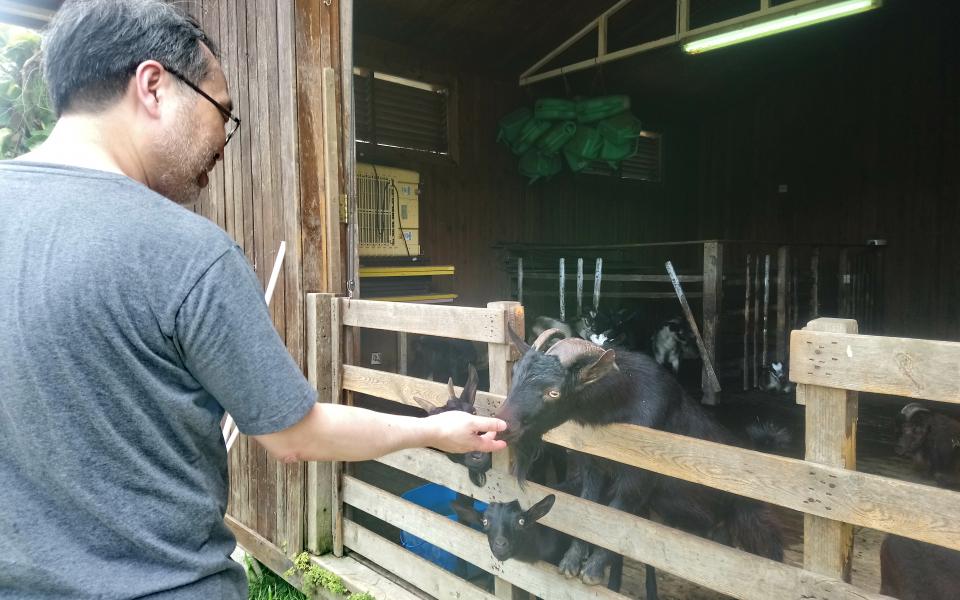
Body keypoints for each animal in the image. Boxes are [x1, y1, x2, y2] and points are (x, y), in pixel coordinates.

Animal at [492, 328, 784, 592]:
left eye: (553, 392)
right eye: (515, 374)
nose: (503, 426)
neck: (622, 402)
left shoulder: (639, 475)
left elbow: (618, 512)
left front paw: (592, 571)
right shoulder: (594, 466)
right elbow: (589, 507)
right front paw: (572, 563)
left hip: (754, 519)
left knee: (772, 553)